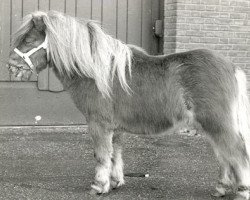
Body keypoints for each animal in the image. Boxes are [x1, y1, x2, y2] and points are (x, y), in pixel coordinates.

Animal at [7, 10, 250, 200]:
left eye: (29, 41)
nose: (10, 66)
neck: (97, 72)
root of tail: (232, 67)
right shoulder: (115, 128)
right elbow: (115, 154)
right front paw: (114, 182)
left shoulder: (99, 124)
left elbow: (101, 155)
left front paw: (99, 186)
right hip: (210, 125)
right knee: (224, 154)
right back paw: (221, 188)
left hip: (216, 123)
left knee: (236, 152)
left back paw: (242, 191)